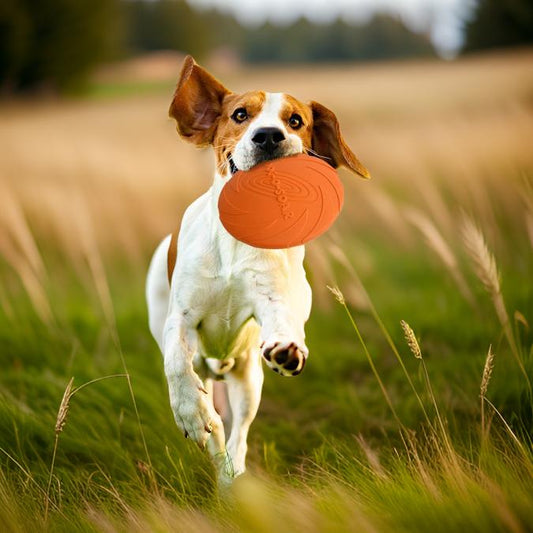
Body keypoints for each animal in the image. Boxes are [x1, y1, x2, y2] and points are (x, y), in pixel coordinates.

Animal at [145, 56, 370, 484]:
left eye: (296, 120)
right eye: (239, 114)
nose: (268, 136)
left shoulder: (275, 298)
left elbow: (283, 320)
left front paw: (287, 348)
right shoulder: (181, 317)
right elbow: (176, 362)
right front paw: (190, 411)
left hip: (248, 378)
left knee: (239, 435)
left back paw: (233, 474)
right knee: (216, 426)